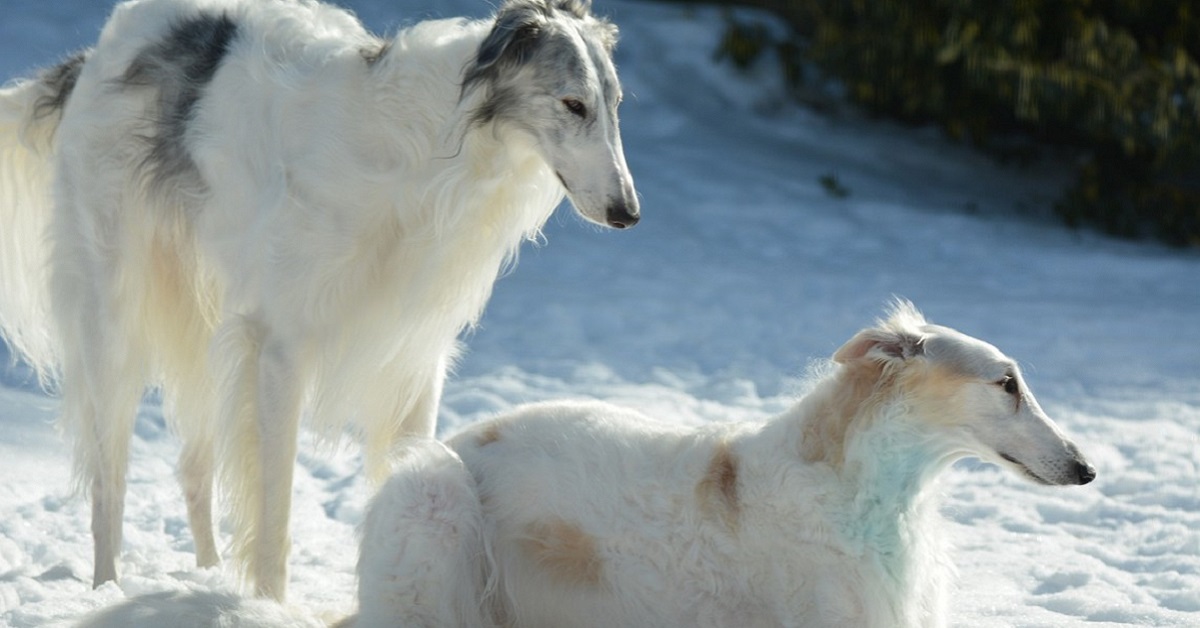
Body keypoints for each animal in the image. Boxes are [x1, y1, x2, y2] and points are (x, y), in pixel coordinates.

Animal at [0, 0, 638, 602]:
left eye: (616, 103)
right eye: (572, 103)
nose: (628, 213)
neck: (425, 151)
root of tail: (98, 50)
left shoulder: (413, 356)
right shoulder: (281, 344)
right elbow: (275, 508)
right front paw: (270, 604)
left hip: (205, 324)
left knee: (192, 467)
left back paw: (205, 575)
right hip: (113, 315)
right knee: (108, 480)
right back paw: (107, 587)